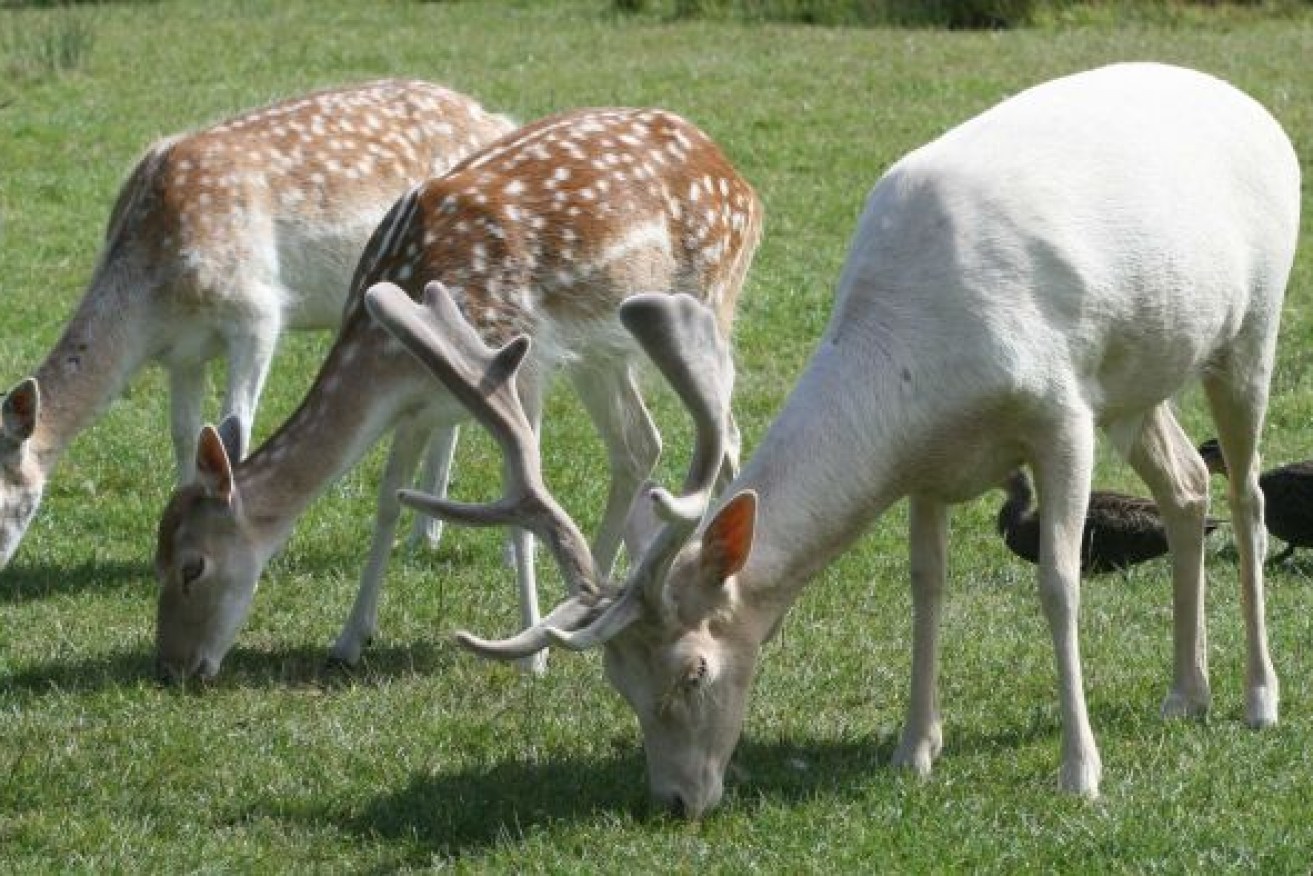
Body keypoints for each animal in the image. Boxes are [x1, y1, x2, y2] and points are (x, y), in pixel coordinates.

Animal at [0, 80, 512, 569]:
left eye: (4, 504)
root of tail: (495, 119)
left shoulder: (257, 312)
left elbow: (237, 427)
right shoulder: (182, 351)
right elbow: (184, 433)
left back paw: (425, 536)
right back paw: (424, 536)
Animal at [150, 106, 766, 682]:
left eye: (192, 566)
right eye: (156, 556)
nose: (173, 668)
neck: (389, 352)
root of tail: (739, 180)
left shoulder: (518, 365)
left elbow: (520, 517)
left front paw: (531, 659)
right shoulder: (415, 405)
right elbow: (388, 500)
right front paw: (349, 639)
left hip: (711, 299)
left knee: (727, 433)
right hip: (602, 350)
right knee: (639, 443)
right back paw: (594, 589)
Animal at [393, 65, 1297, 819]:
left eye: (693, 670)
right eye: (619, 681)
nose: (676, 802)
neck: (919, 362)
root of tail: (1255, 108)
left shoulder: (1060, 412)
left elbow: (1057, 584)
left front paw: (1080, 772)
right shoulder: (931, 464)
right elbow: (925, 586)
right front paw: (913, 750)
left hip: (1249, 329)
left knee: (1246, 495)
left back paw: (1258, 697)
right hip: (1138, 383)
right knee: (1184, 486)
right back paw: (1185, 693)